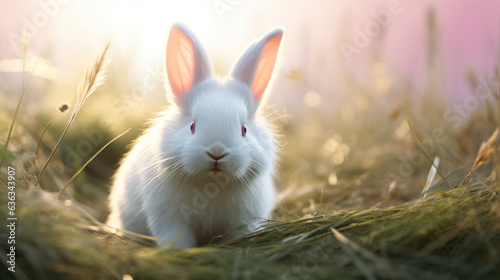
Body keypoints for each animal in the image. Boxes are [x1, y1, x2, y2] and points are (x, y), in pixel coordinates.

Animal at [107, 23, 284, 247]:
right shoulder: (170, 219)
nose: (217, 152)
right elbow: (176, 238)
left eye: (244, 129)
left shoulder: (244, 218)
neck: (209, 185)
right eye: (192, 126)